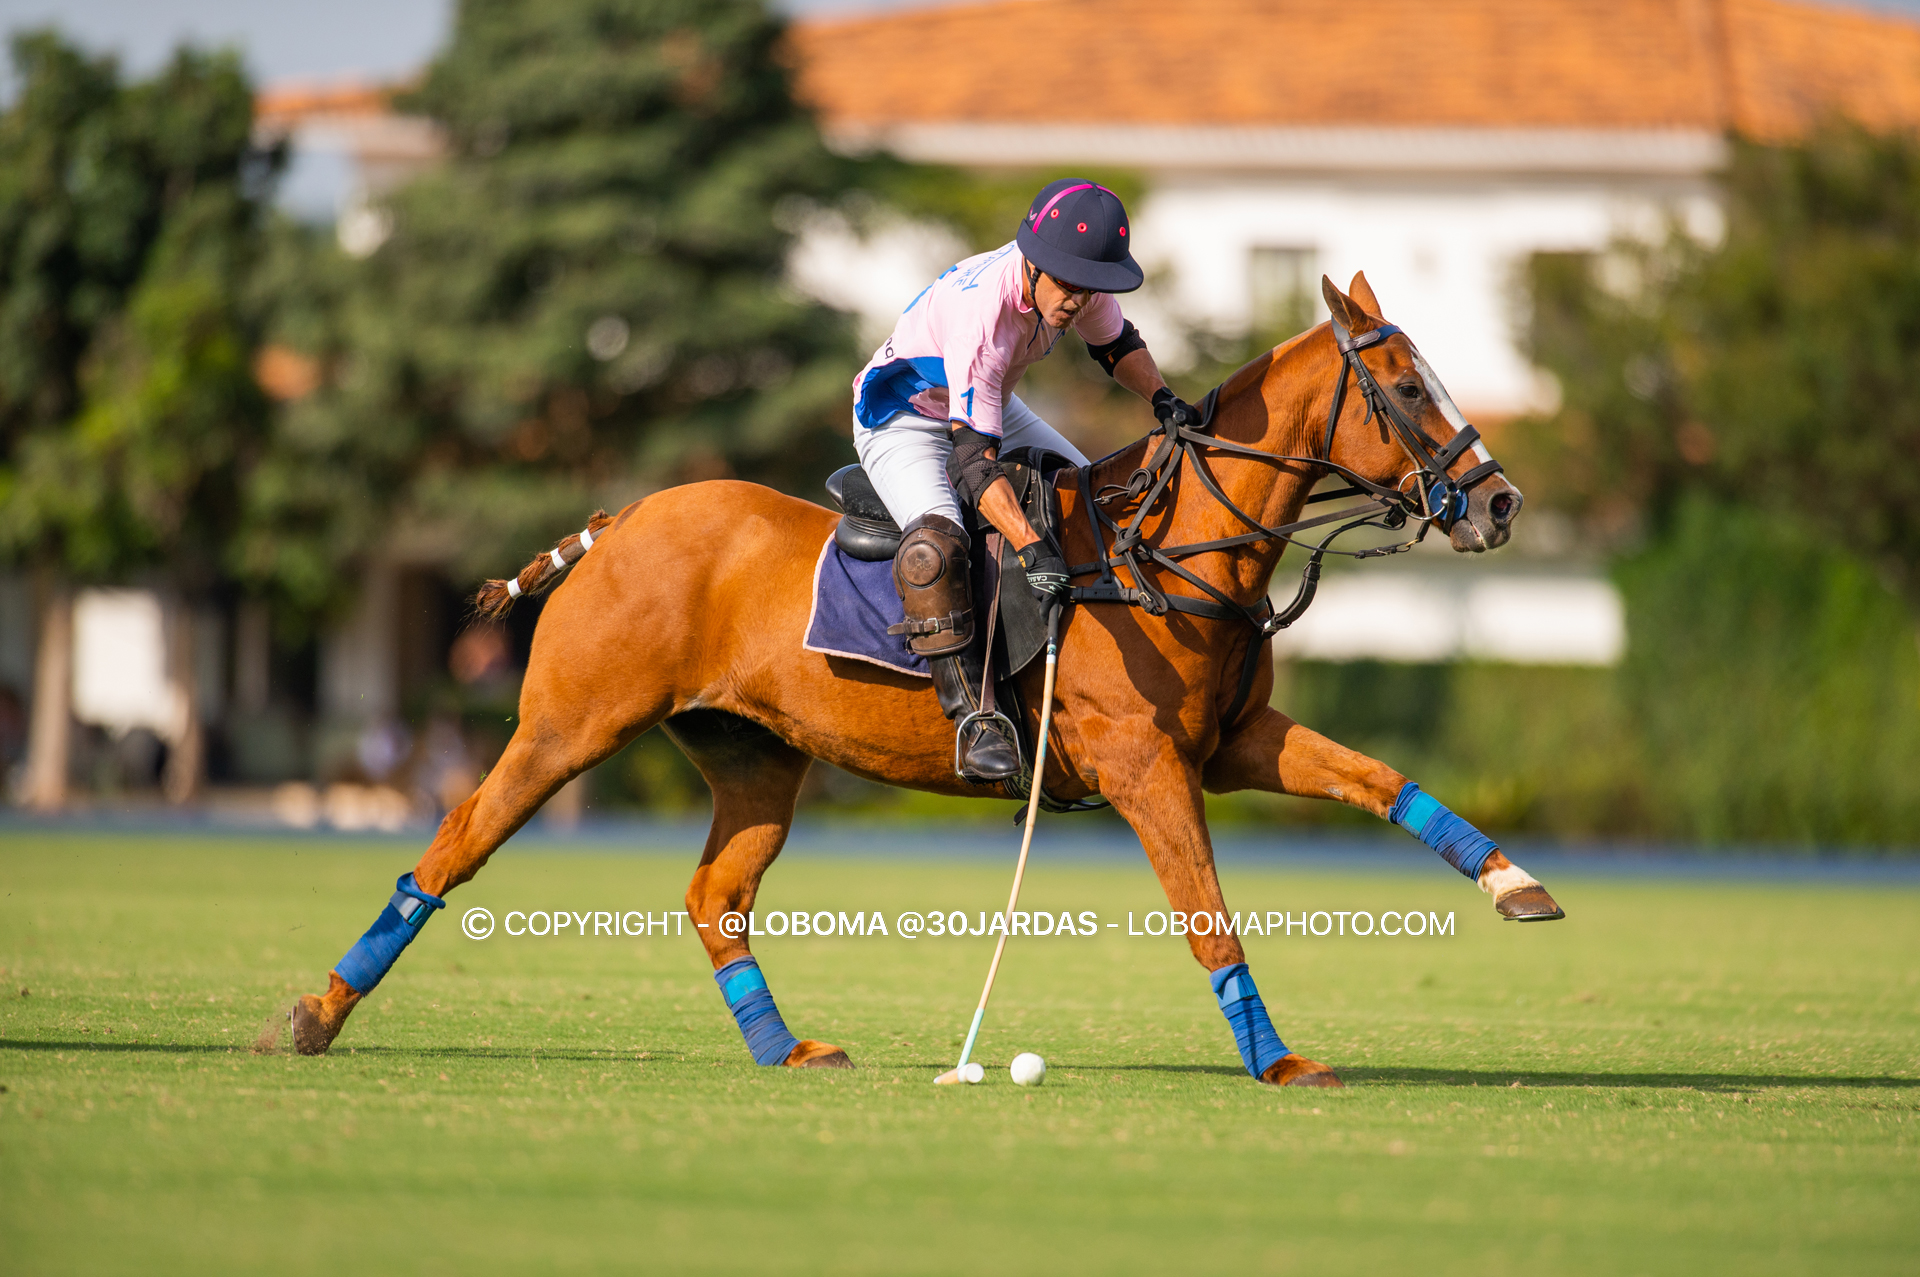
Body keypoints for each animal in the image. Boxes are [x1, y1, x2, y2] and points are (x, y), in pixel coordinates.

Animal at [291, 274, 1566, 1083]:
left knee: (716, 893)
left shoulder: (1233, 744)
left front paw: (1518, 884)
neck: (1170, 551)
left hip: (756, 757)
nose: (1502, 501)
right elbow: (1207, 906)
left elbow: (1382, 779)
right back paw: (313, 1012)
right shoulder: (1146, 761)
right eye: (1406, 385)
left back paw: (788, 1048)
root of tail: (619, 519)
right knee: (452, 843)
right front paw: (1279, 1058)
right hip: (568, 725)